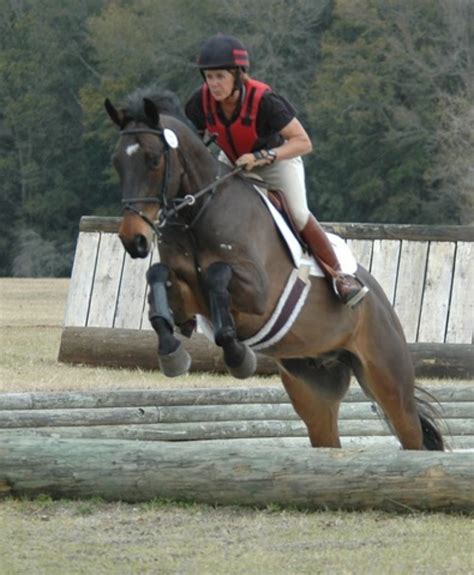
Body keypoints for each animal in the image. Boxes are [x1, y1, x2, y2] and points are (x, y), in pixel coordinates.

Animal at [104, 88, 444, 452]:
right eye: (117, 163)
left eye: (154, 159)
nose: (134, 240)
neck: (199, 213)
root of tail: (381, 301)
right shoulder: (186, 291)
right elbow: (158, 277)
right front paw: (171, 352)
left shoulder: (259, 295)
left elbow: (217, 275)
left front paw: (238, 355)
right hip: (312, 385)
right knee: (328, 438)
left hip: (388, 379)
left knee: (411, 435)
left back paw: (348, 288)